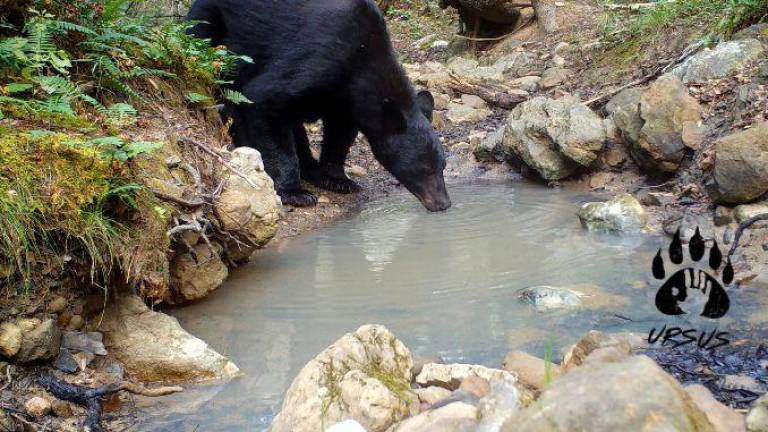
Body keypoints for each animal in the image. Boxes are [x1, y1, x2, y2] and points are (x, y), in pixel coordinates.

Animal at [186, 0, 450, 211]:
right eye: (423, 168)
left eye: (443, 166)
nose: (443, 204)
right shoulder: (316, 61)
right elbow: (263, 99)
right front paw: (295, 193)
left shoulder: (344, 102)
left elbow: (339, 135)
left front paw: (337, 179)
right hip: (214, 24)